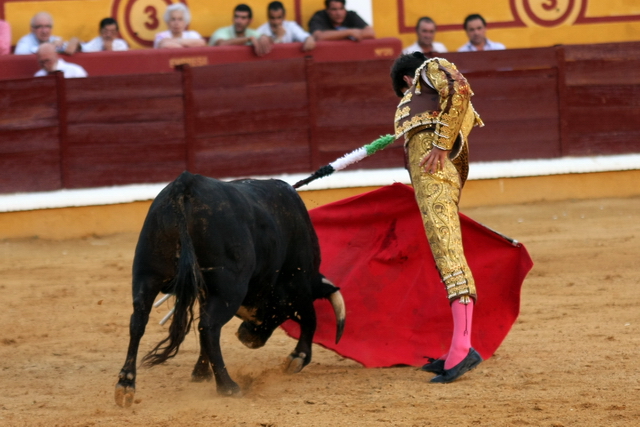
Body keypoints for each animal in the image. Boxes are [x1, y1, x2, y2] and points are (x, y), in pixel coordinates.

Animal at [115, 171, 344, 408]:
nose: (248, 338)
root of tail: (186, 184)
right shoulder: (298, 283)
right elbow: (310, 317)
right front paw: (298, 358)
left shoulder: (205, 292)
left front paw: (200, 373)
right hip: (229, 289)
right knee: (209, 328)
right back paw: (228, 386)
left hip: (146, 273)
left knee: (139, 321)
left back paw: (126, 384)